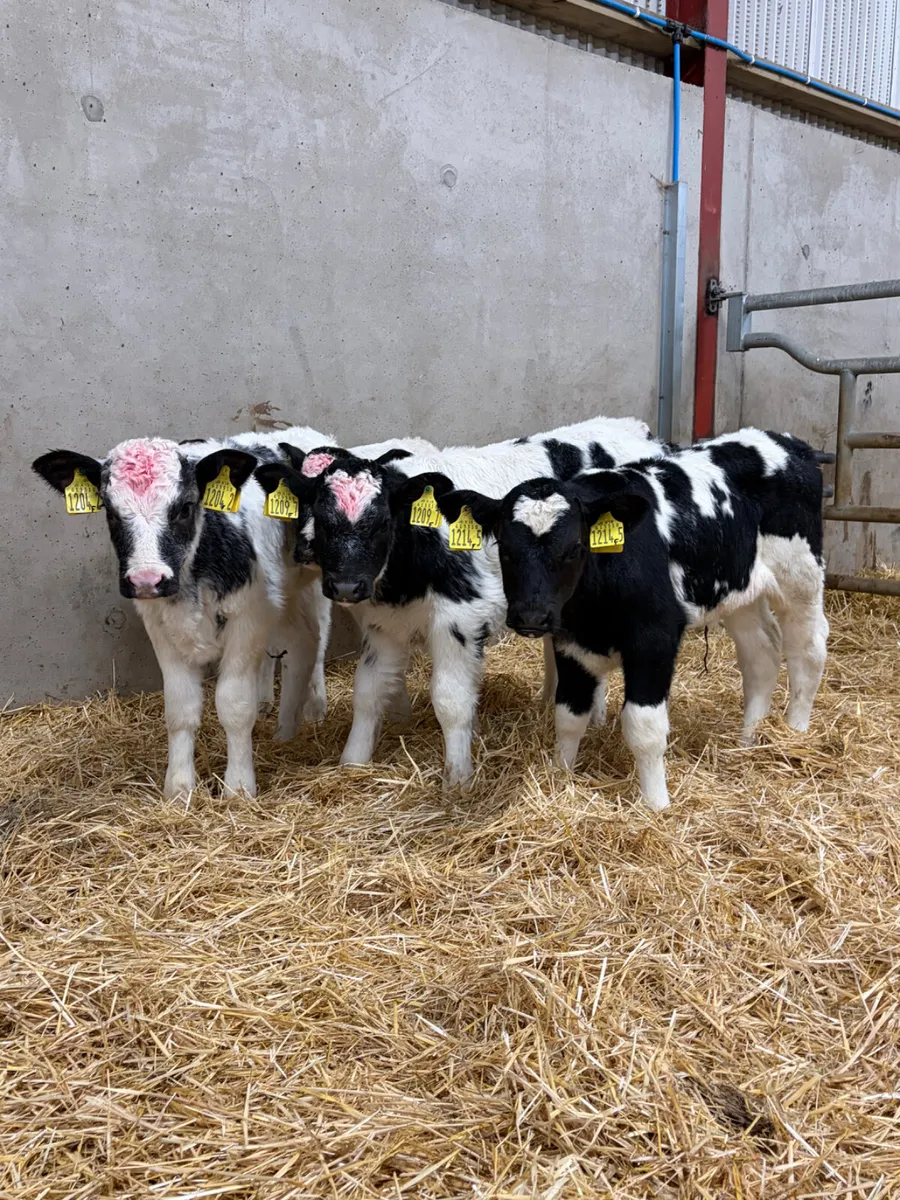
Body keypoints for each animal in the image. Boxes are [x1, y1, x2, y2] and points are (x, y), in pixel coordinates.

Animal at [253, 416, 668, 788]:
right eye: (319, 517)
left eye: (383, 522)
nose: (344, 586)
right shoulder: (383, 624)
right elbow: (368, 692)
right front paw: (352, 763)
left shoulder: (460, 618)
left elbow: (451, 701)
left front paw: (458, 779)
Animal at [434, 429, 830, 811]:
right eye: (504, 548)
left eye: (574, 548)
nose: (531, 615)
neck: (593, 607)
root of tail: (789, 443)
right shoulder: (571, 642)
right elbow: (568, 716)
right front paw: (560, 777)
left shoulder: (654, 640)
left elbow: (644, 726)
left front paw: (655, 803)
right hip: (738, 592)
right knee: (762, 654)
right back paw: (750, 741)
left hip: (801, 579)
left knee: (808, 650)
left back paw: (794, 734)